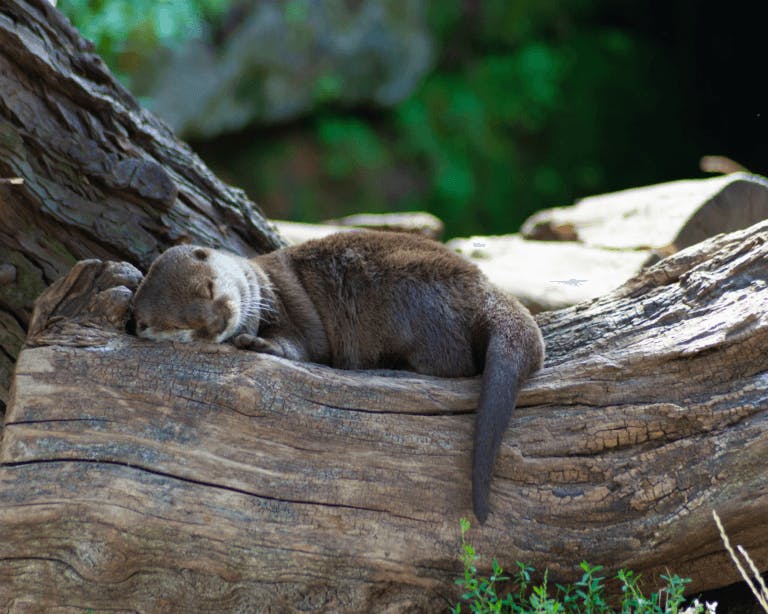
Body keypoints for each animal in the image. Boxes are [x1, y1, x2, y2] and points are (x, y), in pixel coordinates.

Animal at [131, 230, 544, 523]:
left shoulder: (290, 305)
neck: (261, 282)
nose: (219, 321)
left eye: (209, 287)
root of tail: (485, 289)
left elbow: (304, 345)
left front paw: (261, 344)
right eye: (183, 325)